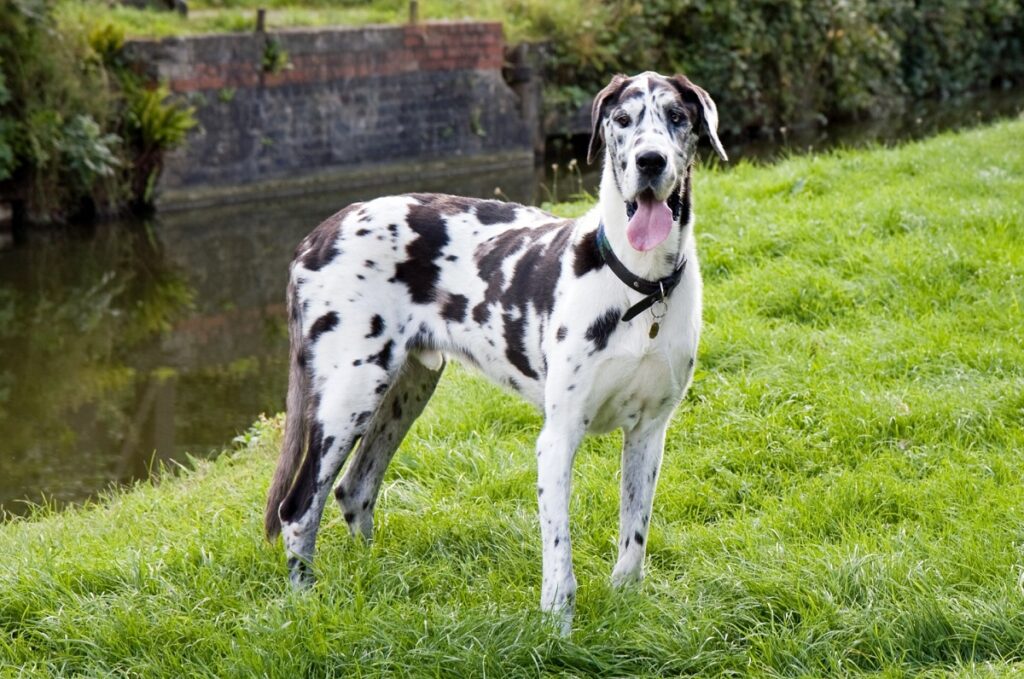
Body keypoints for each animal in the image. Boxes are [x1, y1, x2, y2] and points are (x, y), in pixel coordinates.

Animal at [264, 70, 729, 630]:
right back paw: (305, 608)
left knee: (355, 490)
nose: (650, 161)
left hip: (405, 391)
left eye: (677, 117)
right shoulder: (558, 439)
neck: (640, 286)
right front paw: (558, 632)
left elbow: (632, 544)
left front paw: (626, 609)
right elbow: (560, 563)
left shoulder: (649, 434)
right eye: (623, 120)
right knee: (298, 510)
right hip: (348, 396)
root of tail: (320, 231)